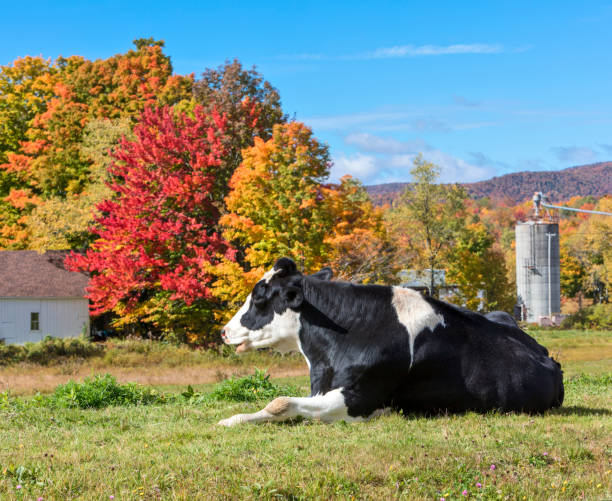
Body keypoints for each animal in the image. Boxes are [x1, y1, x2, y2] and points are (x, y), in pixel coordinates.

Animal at [219, 258, 564, 426]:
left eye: (259, 298)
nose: (224, 331)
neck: (323, 360)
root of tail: (547, 355)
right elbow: (273, 406)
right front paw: (232, 419)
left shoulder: (357, 398)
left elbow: (280, 402)